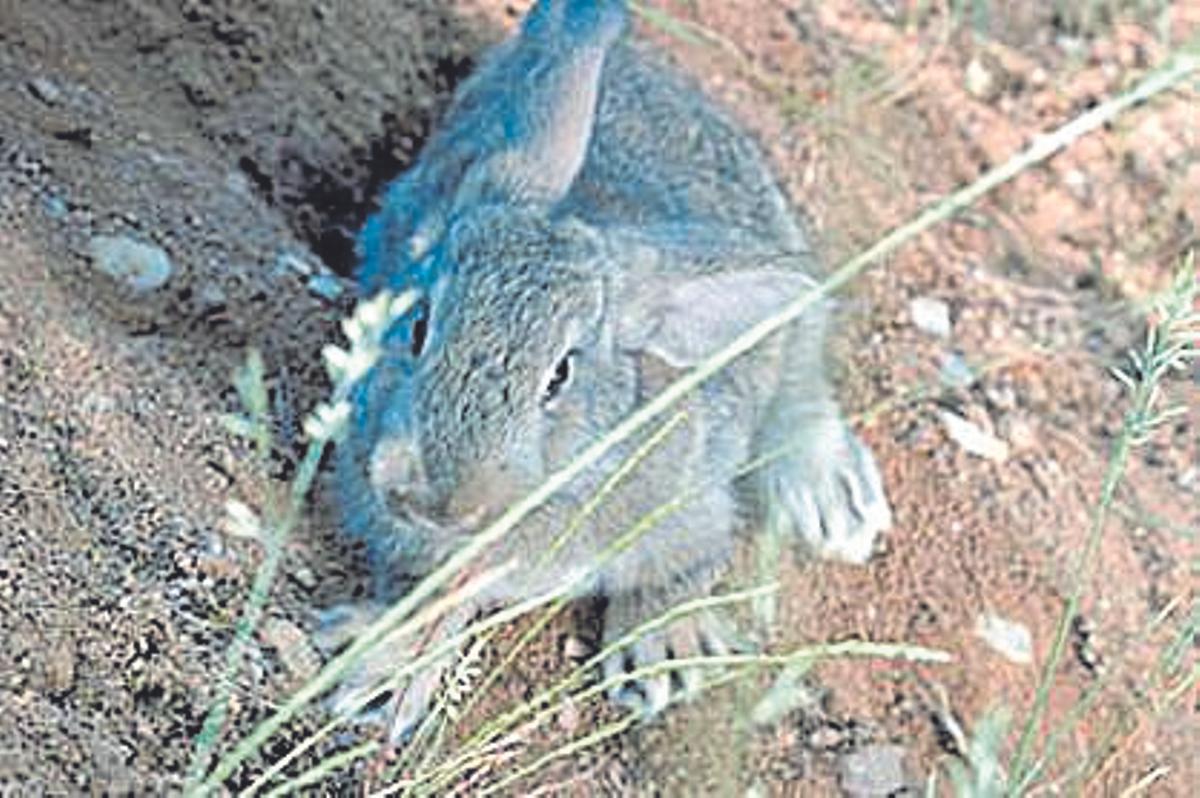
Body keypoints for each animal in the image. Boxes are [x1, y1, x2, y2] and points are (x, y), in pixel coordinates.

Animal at [329, 0, 891, 737]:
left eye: (560, 376)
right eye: (418, 325)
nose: (432, 500)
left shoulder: (691, 512)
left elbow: (683, 573)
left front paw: (667, 660)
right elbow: (425, 599)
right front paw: (382, 676)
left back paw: (834, 501)